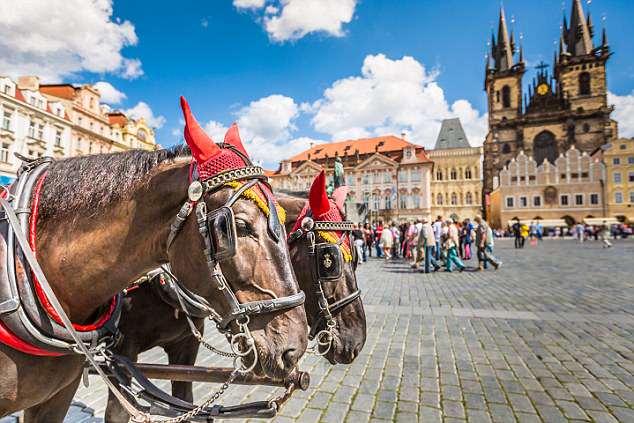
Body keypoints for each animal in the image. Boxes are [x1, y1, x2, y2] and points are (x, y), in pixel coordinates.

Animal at [103, 165, 366, 420]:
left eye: (354, 254)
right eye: (328, 260)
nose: (357, 343)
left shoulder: (186, 348)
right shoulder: (120, 356)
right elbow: (118, 411)